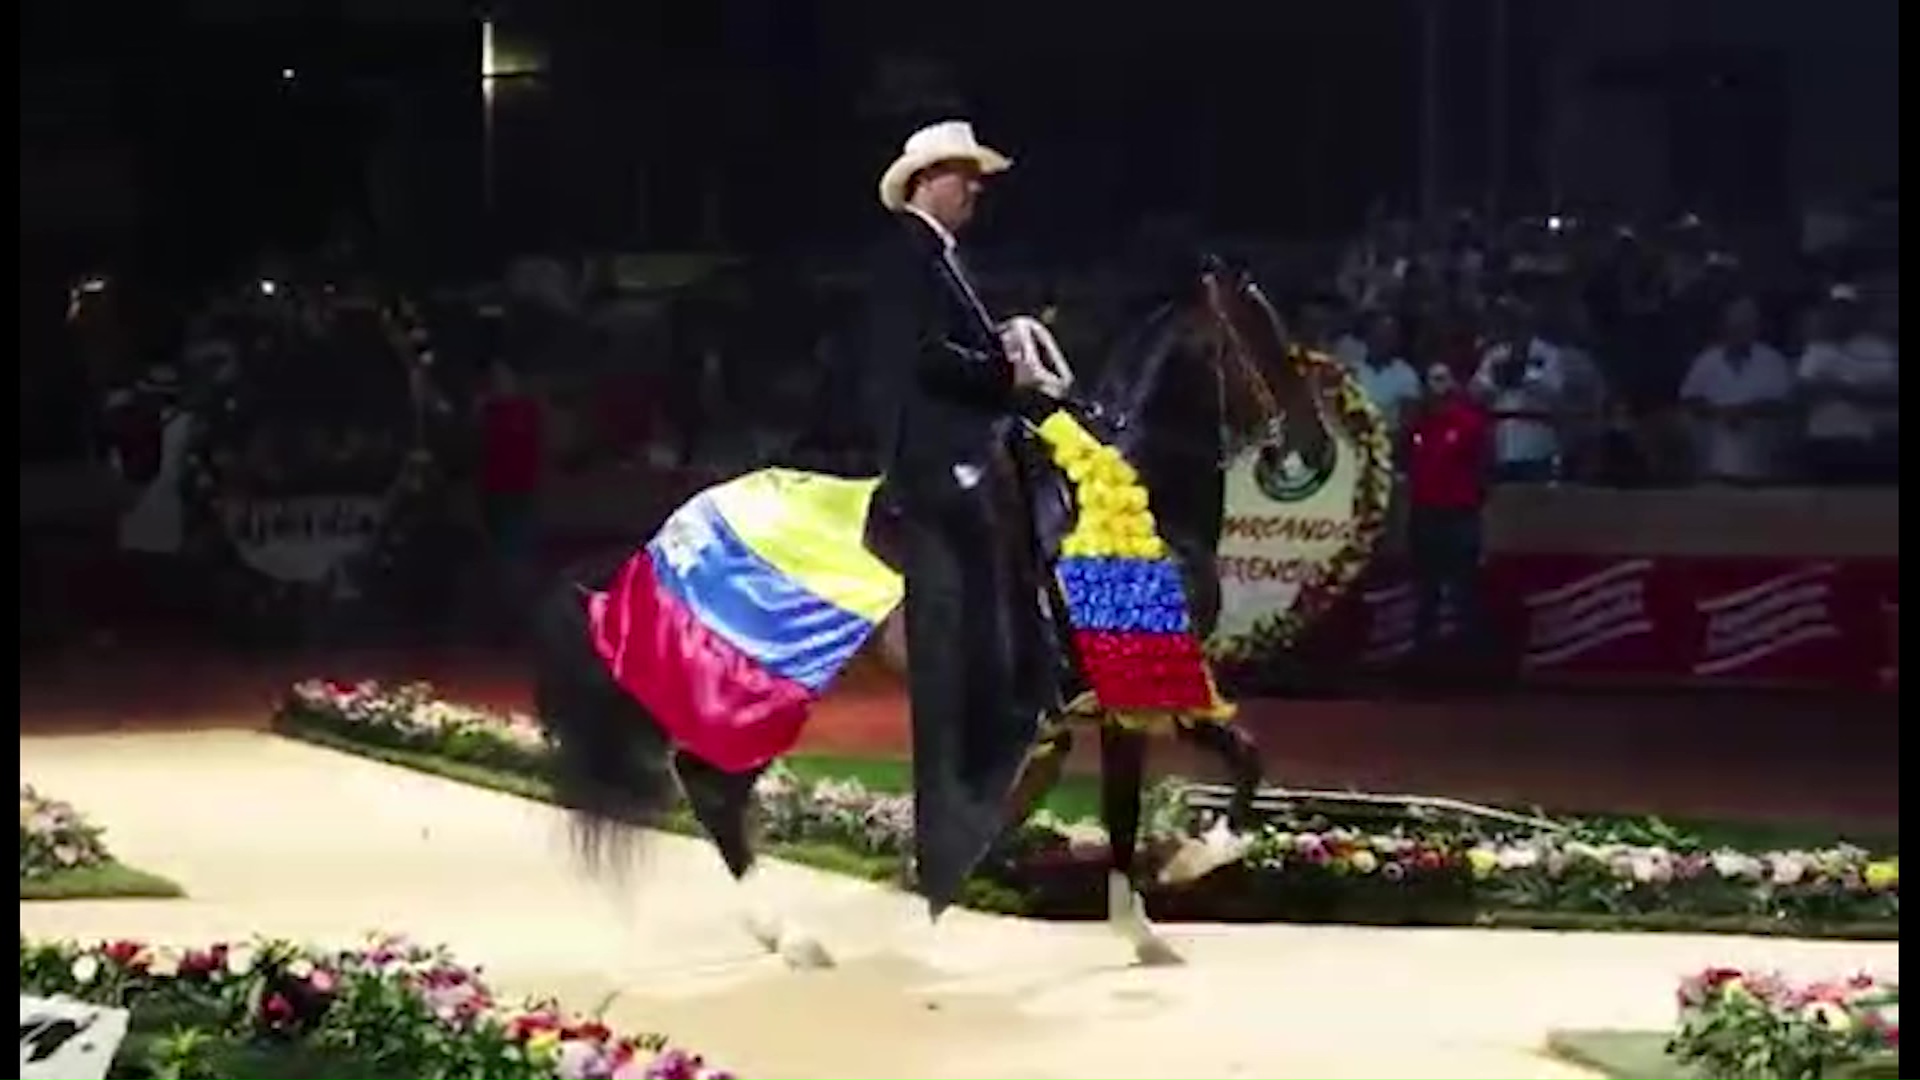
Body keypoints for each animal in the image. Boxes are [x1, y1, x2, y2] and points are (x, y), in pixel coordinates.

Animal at [533, 255, 1297, 960]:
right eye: (1264, 334)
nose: (1293, 449)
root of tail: (673, 529)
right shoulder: (1138, 694)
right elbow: (1155, 799)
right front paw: (1173, 889)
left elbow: (1103, 792)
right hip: (769, 690)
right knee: (712, 784)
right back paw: (791, 938)